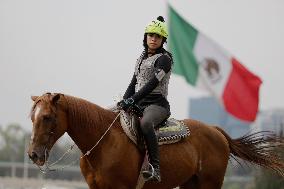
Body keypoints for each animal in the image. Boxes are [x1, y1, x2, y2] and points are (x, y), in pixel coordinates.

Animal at [27, 92, 284, 188]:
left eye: (47, 117)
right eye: (32, 116)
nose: (33, 154)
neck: (103, 142)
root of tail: (215, 131)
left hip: (210, 183)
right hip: (190, 183)